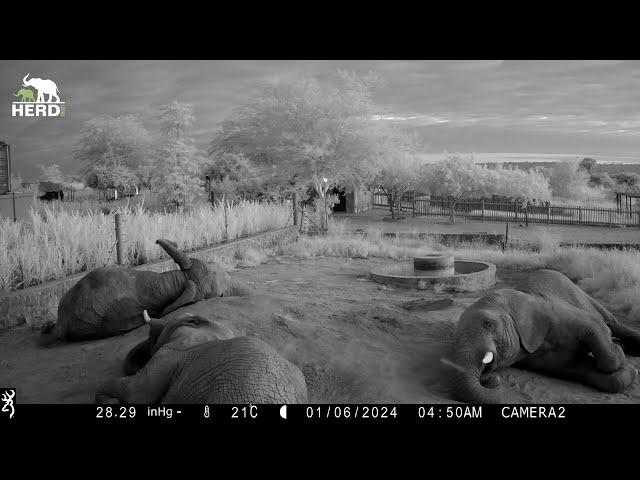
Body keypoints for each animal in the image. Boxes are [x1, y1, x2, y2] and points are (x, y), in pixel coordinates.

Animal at [442, 268, 640, 404]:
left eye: (488, 324)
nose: (490, 379)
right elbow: (579, 368)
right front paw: (629, 369)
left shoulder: (555, 311)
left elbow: (594, 327)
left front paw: (620, 353)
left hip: (580, 294)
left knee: (611, 322)